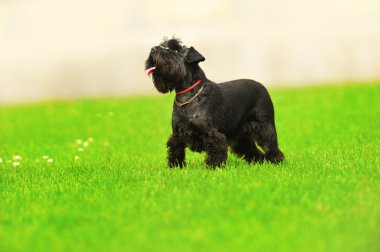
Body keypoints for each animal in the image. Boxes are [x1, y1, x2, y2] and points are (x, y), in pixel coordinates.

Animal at [145, 38, 284, 167]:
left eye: (175, 51)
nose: (153, 49)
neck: (188, 95)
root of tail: (263, 86)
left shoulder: (212, 133)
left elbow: (216, 150)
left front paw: (213, 166)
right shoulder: (177, 134)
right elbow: (175, 150)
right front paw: (175, 167)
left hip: (264, 127)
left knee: (272, 146)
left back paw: (276, 161)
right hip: (242, 136)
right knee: (252, 150)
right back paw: (260, 162)